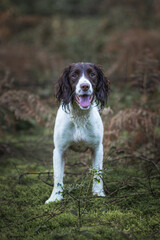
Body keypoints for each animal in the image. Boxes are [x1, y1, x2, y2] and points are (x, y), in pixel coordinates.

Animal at [45, 62, 109, 202]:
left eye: (92, 74)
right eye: (74, 75)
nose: (85, 86)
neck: (80, 117)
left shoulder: (97, 148)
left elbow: (98, 174)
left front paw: (98, 193)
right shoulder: (59, 150)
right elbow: (58, 176)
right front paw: (55, 198)